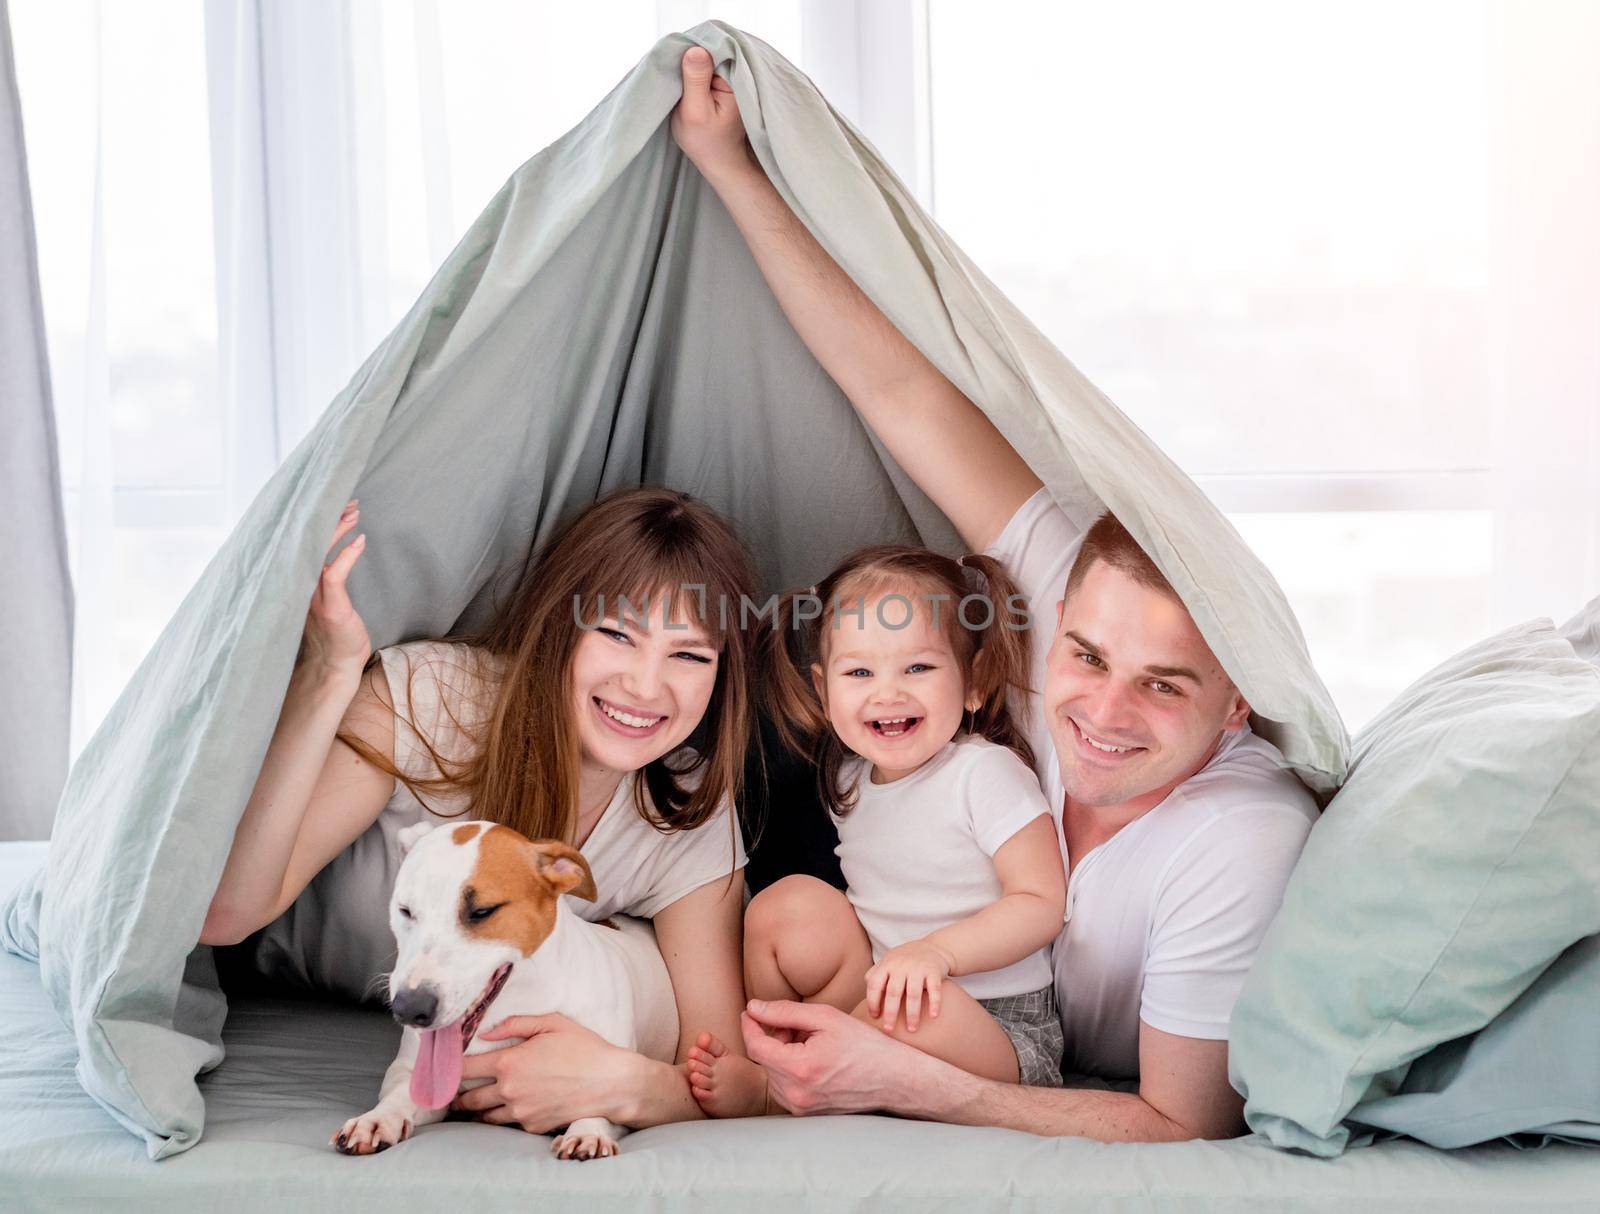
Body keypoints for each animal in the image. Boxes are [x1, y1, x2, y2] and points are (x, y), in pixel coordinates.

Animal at [328, 818, 678, 1164]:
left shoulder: (614, 1072)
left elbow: (599, 1101)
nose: (409, 1009)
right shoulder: (410, 1071)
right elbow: (402, 1093)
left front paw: (587, 1132)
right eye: (405, 910)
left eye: (483, 911)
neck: (517, 1005)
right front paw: (376, 1119)